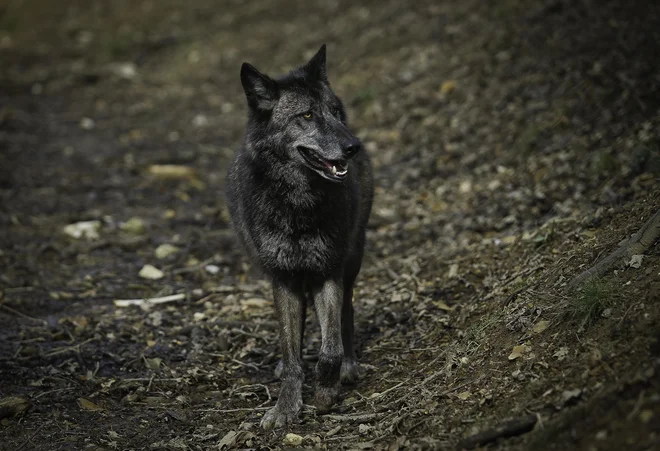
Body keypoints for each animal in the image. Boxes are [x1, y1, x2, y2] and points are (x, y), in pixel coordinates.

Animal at [226, 46, 372, 430]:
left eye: (335, 111)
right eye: (306, 115)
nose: (353, 146)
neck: (298, 203)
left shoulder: (328, 272)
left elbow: (330, 348)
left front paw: (325, 392)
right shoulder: (283, 279)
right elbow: (291, 351)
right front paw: (287, 405)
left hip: (353, 259)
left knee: (346, 313)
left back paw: (349, 365)